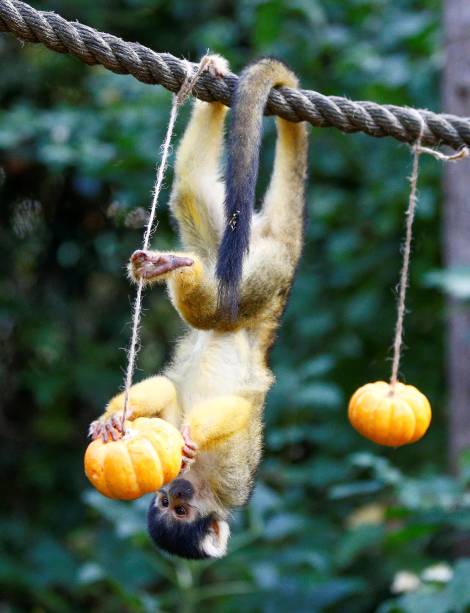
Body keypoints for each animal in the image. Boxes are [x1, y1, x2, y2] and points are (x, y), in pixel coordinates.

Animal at [88, 55, 308, 556]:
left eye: (181, 511)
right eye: (164, 502)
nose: (174, 494)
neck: (198, 479)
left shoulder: (232, 480)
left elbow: (237, 411)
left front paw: (188, 437)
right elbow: (167, 393)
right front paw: (113, 418)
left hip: (259, 275)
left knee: (217, 307)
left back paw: (172, 268)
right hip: (244, 259)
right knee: (189, 196)